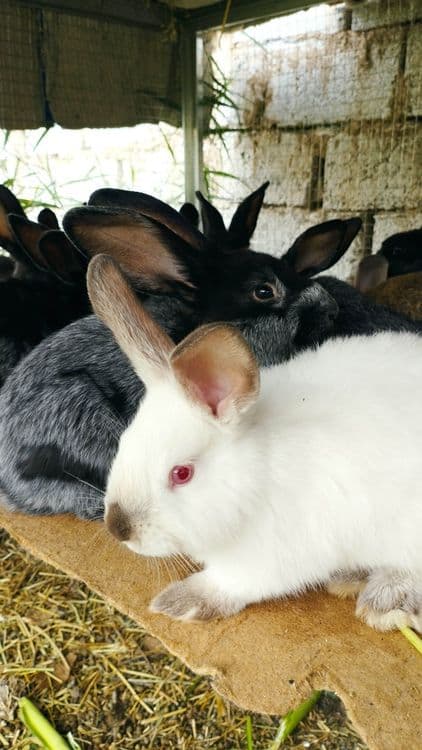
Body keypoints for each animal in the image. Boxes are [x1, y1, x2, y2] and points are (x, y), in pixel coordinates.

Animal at [88, 255, 422, 633]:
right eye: (124, 442)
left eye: (182, 473)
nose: (119, 528)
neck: (253, 479)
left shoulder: (270, 560)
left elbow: (231, 583)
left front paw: (181, 602)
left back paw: (382, 599)